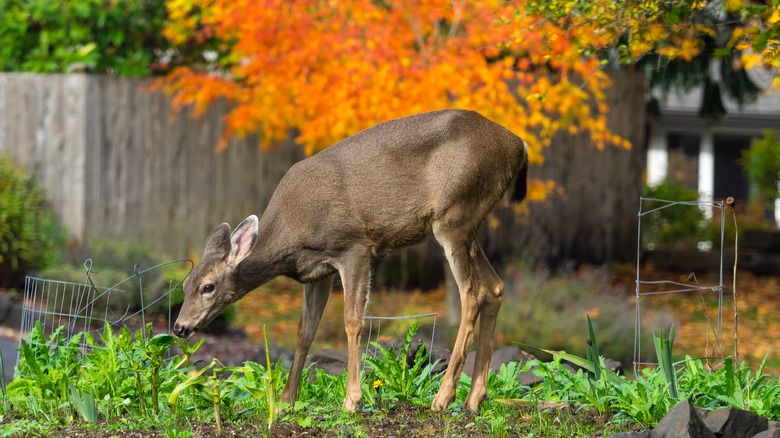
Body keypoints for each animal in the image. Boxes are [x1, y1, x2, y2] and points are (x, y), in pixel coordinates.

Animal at [175, 108, 532, 412]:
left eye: (208, 286)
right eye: (184, 285)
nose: (179, 327)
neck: (291, 234)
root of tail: (519, 145)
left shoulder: (355, 247)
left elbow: (353, 322)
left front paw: (352, 400)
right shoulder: (316, 272)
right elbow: (305, 331)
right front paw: (286, 401)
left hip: (455, 214)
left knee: (472, 292)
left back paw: (443, 398)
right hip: (469, 223)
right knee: (495, 287)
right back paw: (474, 399)